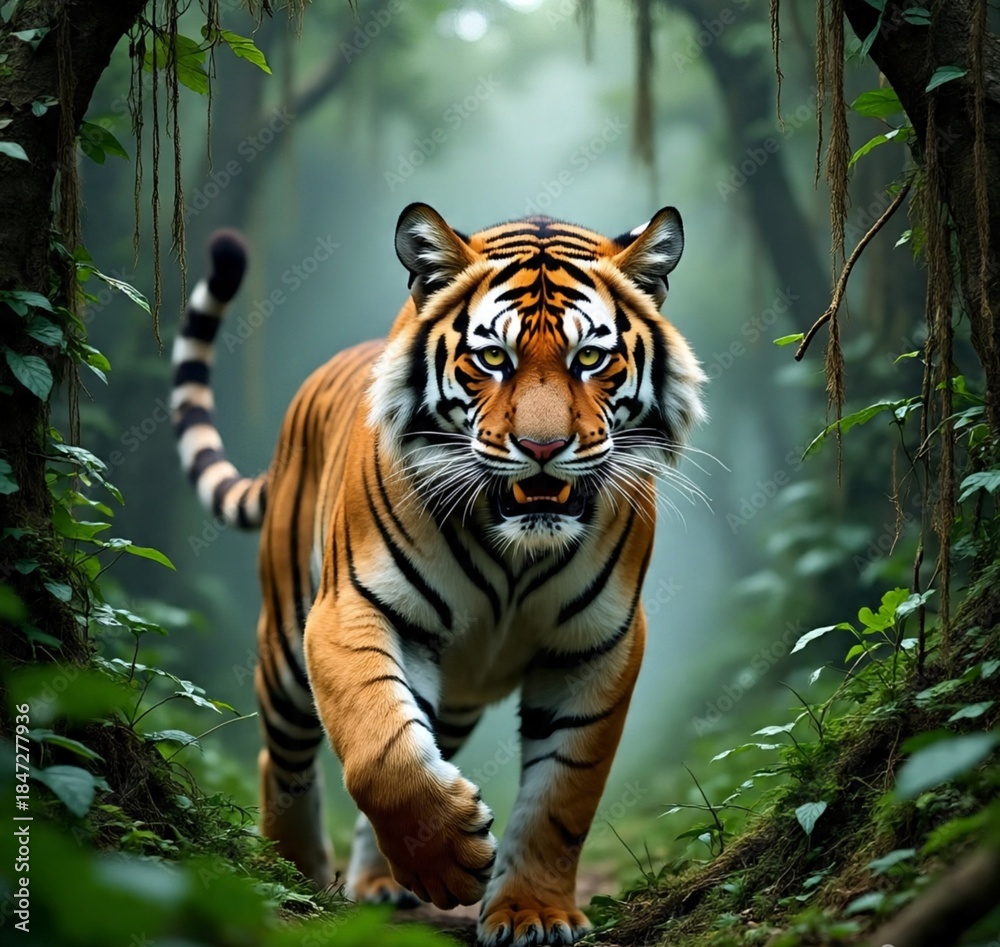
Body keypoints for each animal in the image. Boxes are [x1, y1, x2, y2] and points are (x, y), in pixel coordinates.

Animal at [171, 202, 706, 947]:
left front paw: (530, 910)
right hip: (284, 642)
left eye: (591, 358)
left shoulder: (599, 645)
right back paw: (292, 872)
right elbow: (380, 749)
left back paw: (380, 880)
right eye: (493, 357)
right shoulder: (352, 608)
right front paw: (451, 857)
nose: (543, 448)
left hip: (451, 691)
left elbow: (563, 794)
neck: (517, 553)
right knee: (282, 755)